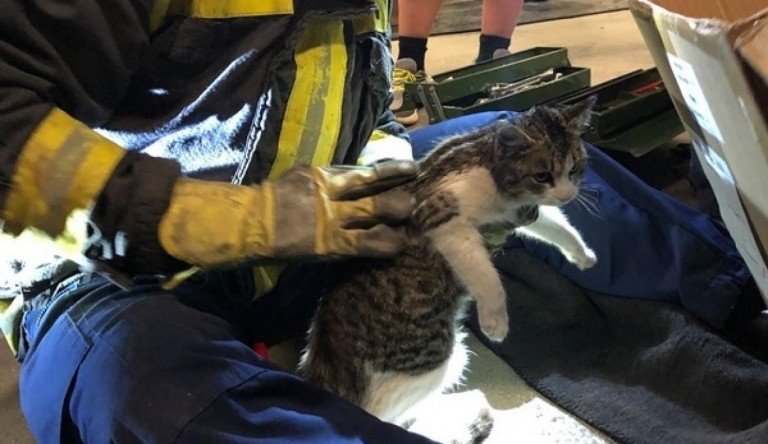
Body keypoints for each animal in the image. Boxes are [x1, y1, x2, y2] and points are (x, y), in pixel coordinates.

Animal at [296, 97, 596, 434]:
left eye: (574, 168)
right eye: (542, 175)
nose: (567, 195)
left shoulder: (520, 210)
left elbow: (557, 226)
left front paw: (582, 254)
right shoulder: (442, 218)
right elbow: (484, 274)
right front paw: (495, 321)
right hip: (433, 360)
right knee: (384, 418)